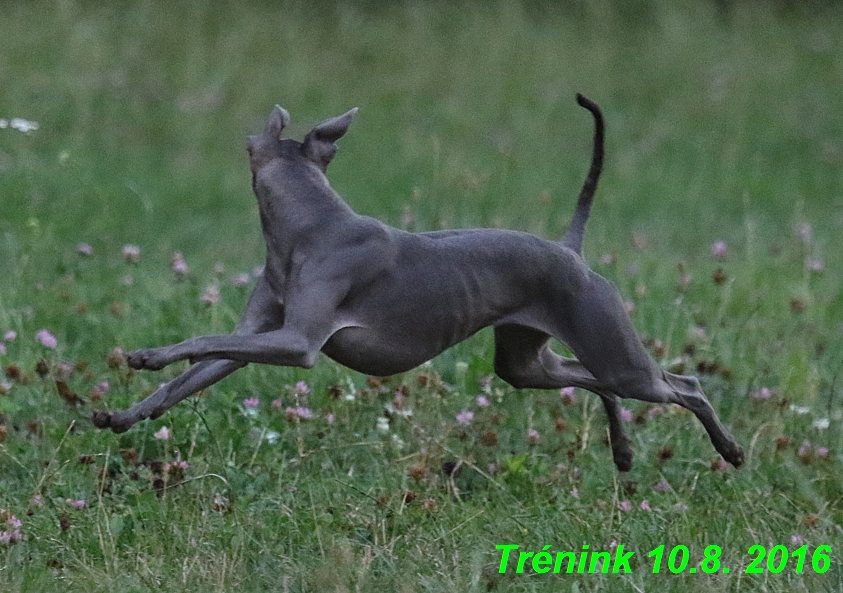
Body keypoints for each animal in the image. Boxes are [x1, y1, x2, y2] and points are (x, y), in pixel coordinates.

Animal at [92, 93, 744, 472]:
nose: (244, 131)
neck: (307, 224)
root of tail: (570, 250)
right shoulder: (258, 334)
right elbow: (192, 376)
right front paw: (123, 416)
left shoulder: (297, 343)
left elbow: (201, 341)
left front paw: (147, 355)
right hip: (526, 361)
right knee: (592, 380)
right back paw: (625, 451)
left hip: (616, 352)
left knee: (682, 384)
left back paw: (730, 450)